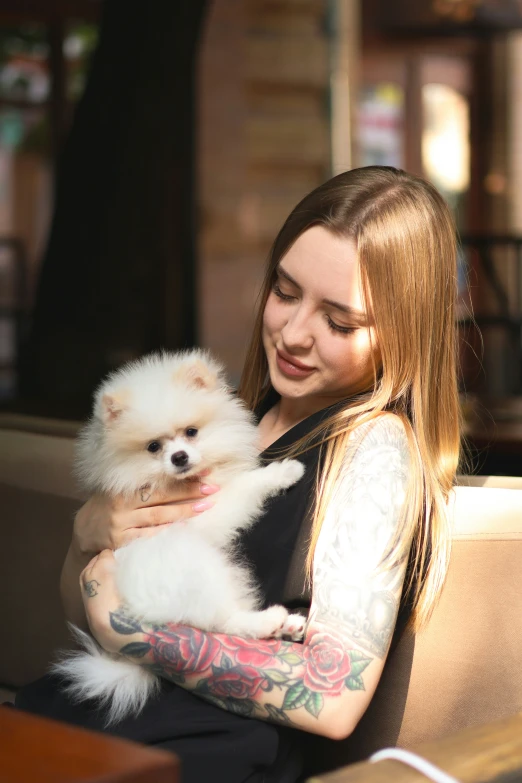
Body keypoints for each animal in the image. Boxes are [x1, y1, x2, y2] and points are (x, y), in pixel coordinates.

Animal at [51, 352, 304, 724]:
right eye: (153, 447)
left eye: (191, 432)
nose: (179, 457)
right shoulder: (206, 511)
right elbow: (244, 485)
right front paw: (283, 471)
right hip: (200, 570)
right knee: (224, 621)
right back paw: (270, 620)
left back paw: (289, 626)